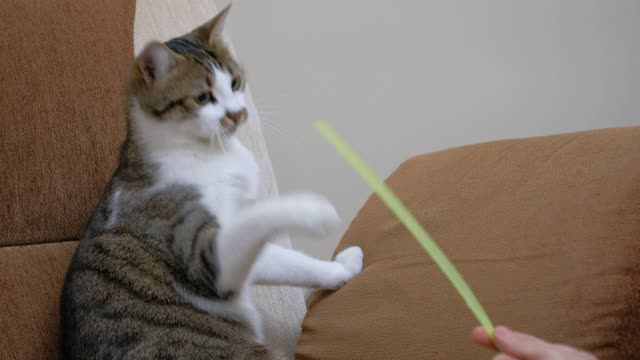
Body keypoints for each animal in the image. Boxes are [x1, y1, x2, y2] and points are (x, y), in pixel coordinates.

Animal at [62, 6, 362, 360]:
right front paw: (314, 214)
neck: (210, 151)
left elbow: (281, 259)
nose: (238, 113)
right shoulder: (205, 252)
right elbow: (270, 232)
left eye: (234, 82)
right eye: (202, 98)